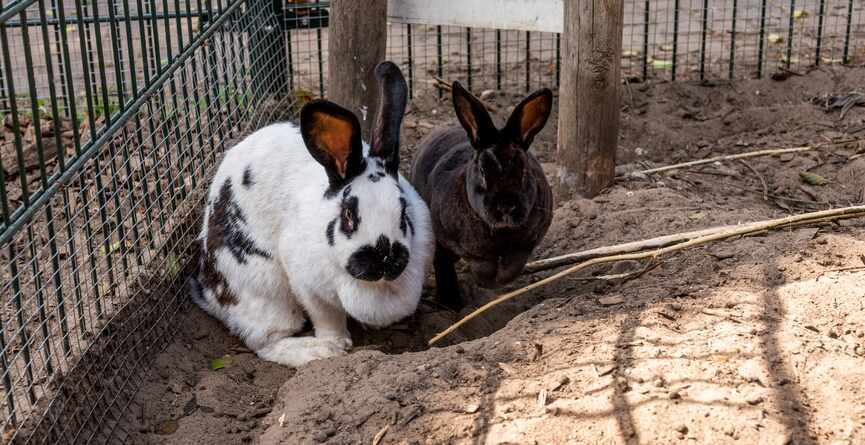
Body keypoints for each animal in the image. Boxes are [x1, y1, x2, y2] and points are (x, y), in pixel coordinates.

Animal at [189, 63, 432, 368]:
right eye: (348, 214)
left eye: (403, 212)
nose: (384, 258)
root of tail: (208, 291)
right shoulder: (307, 286)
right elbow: (327, 318)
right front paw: (336, 345)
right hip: (263, 290)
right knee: (265, 342)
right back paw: (314, 352)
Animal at [412, 80, 552, 308]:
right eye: (483, 171)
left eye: (524, 170)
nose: (506, 206)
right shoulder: (459, 244)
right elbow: (481, 266)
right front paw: (483, 282)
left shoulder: (525, 245)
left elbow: (513, 266)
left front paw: (498, 281)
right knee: (443, 263)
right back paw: (450, 303)